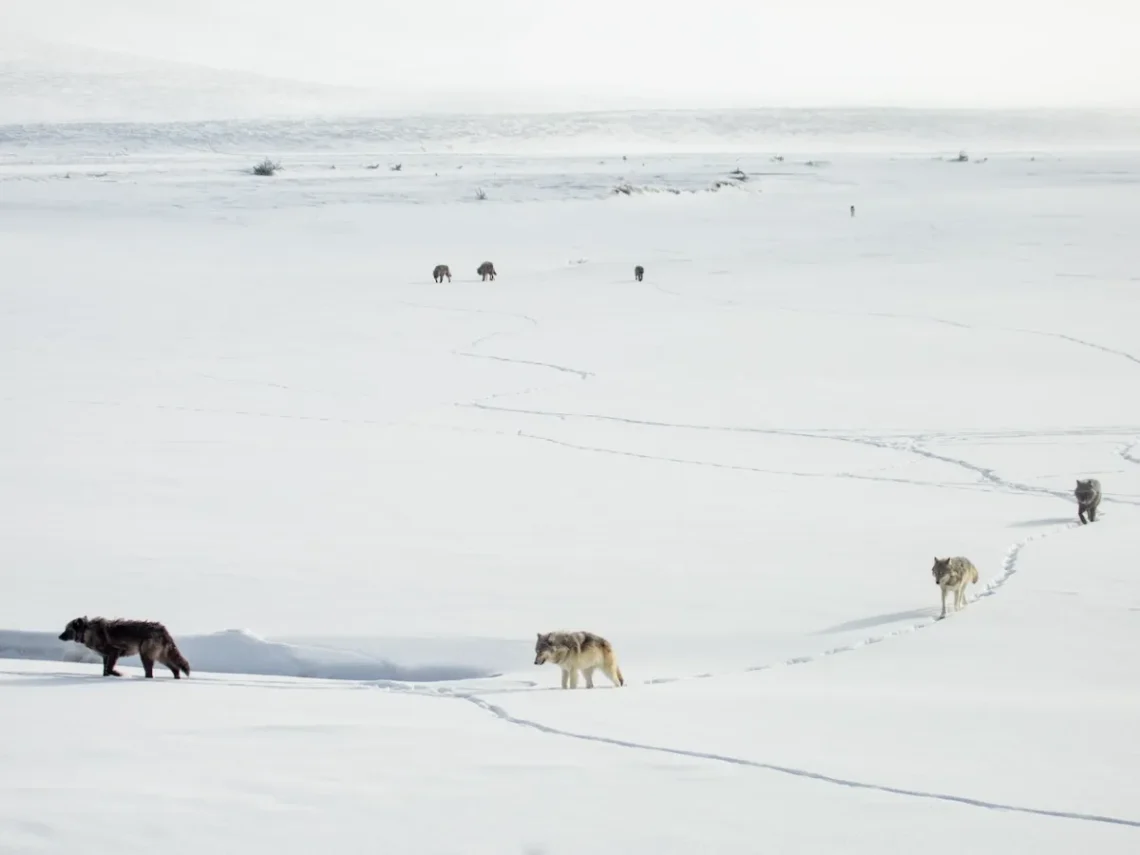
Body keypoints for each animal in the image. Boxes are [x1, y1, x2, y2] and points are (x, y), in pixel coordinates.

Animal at [59, 616, 191, 679]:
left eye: (67, 630)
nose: (59, 637)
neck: (88, 631)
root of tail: (162, 629)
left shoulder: (114, 652)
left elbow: (110, 669)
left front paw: (120, 674)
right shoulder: (105, 657)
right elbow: (105, 671)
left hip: (147, 656)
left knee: (151, 672)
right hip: (161, 657)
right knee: (176, 668)